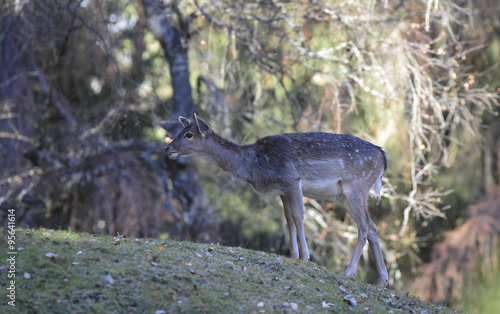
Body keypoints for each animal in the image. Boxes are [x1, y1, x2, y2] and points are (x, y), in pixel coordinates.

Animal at [165, 114, 390, 288]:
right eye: (181, 130)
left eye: (188, 134)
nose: (167, 148)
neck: (255, 166)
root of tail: (383, 157)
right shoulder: (282, 190)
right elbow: (288, 220)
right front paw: (293, 254)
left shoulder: (291, 179)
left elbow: (299, 217)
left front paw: (305, 257)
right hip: (344, 195)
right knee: (372, 226)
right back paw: (382, 280)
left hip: (356, 186)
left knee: (364, 225)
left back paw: (349, 272)